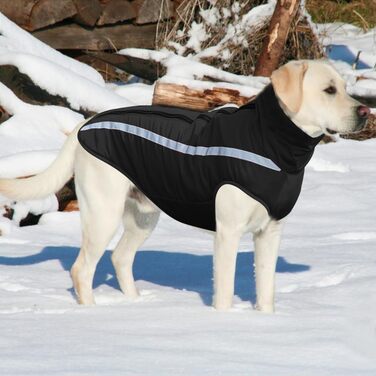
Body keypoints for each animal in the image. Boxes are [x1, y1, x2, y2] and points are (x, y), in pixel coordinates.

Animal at [0, 59, 370, 312]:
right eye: (329, 90)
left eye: (344, 87)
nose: (366, 111)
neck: (273, 142)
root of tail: (84, 125)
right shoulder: (228, 232)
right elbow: (224, 290)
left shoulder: (271, 231)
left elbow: (266, 291)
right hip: (103, 212)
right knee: (82, 269)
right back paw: (93, 314)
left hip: (143, 216)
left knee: (120, 258)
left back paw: (136, 306)